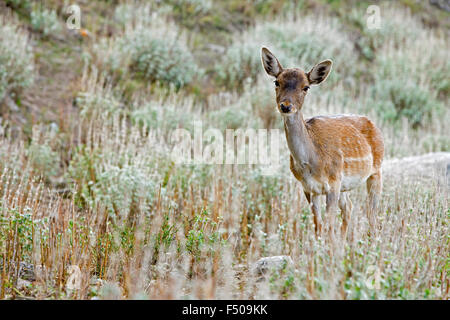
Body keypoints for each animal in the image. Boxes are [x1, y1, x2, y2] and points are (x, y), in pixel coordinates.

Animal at [262, 47, 384, 240]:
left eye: (306, 87)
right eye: (276, 82)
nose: (286, 106)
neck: (311, 163)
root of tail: (373, 124)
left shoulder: (333, 183)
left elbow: (329, 225)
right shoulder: (308, 187)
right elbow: (318, 226)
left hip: (376, 171)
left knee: (372, 216)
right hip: (345, 186)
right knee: (349, 208)